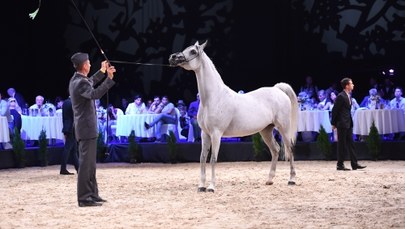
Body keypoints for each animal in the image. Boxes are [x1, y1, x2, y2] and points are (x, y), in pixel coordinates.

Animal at [169, 40, 298, 191]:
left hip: (284, 128)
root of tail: (278, 89)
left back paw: (292, 180)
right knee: (276, 150)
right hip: (266, 130)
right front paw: (201, 186)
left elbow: (213, 159)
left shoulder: (216, 134)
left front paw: (211, 187)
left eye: (193, 51)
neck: (213, 97)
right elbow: (202, 158)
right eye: (185, 49)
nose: (172, 57)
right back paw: (269, 180)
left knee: (290, 149)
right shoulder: (205, 134)